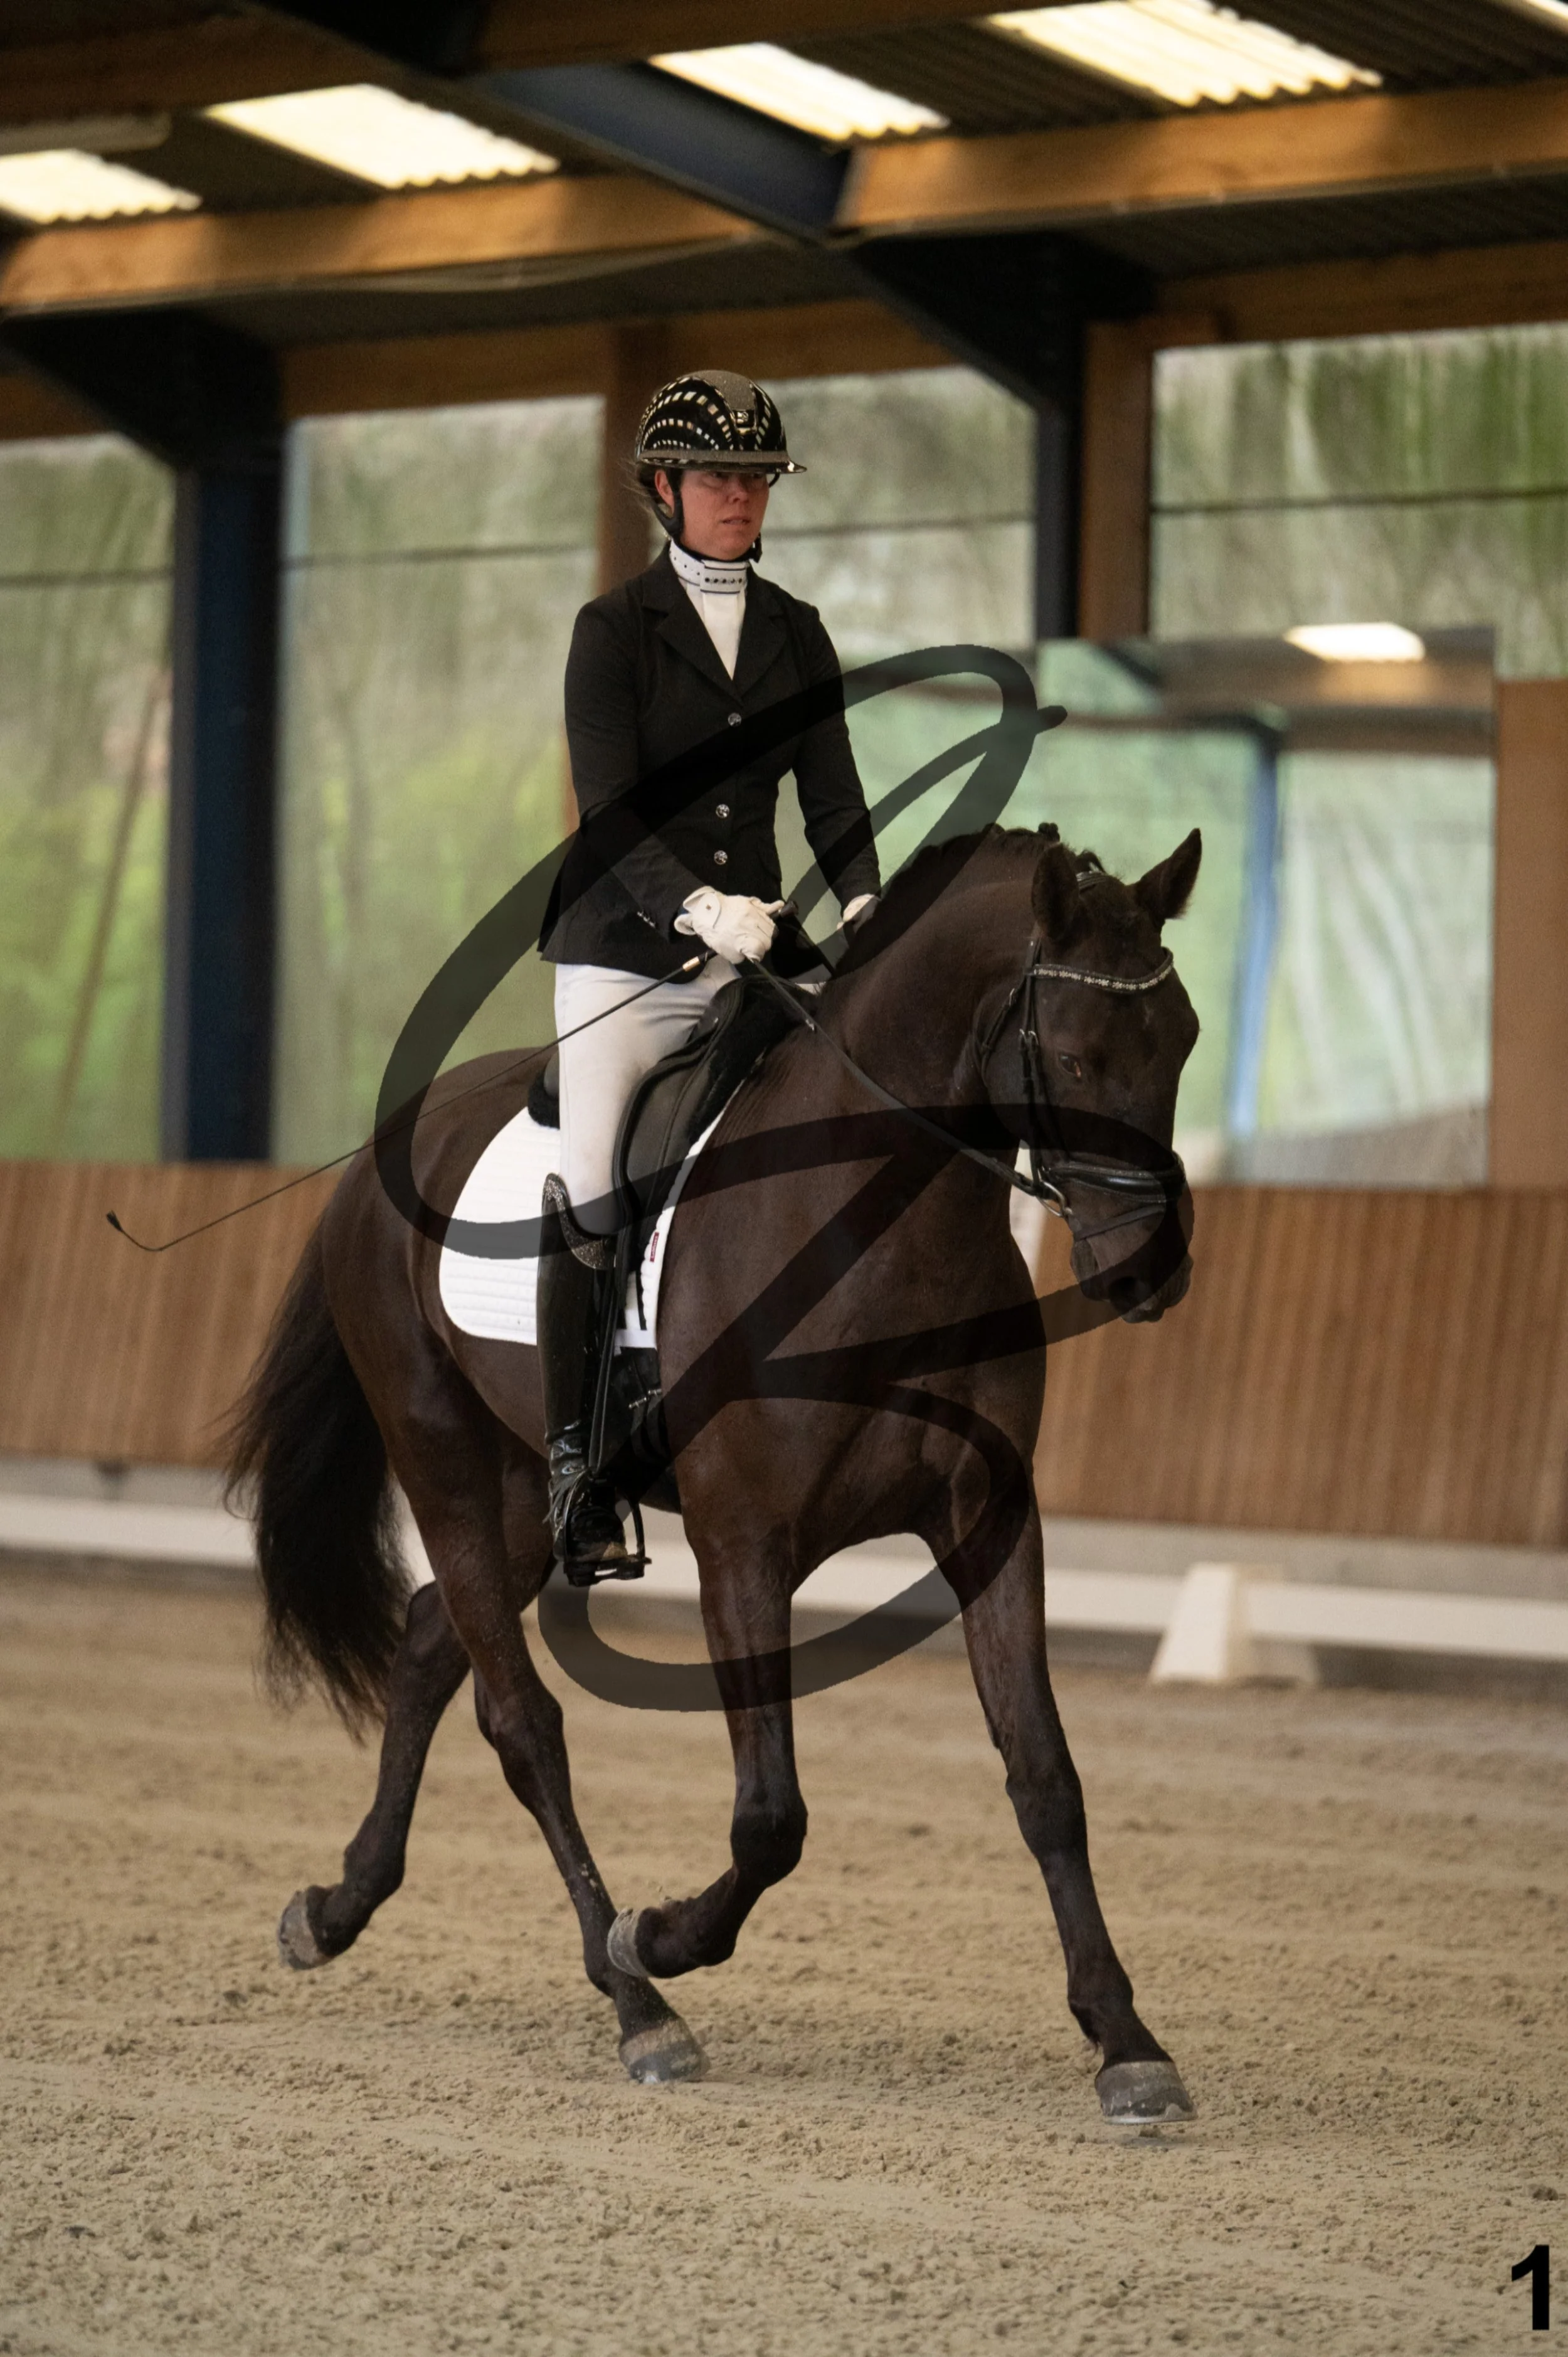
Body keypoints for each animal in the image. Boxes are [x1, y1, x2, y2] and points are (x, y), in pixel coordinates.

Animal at [229, 821, 1203, 2120]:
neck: (879, 1222)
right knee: (521, 1720)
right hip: (440, 1456)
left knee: (437, 1637)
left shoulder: (992, 1516)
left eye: (1182, 1039)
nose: (1152, 1270)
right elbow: (771, 1817)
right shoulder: (745, 1544)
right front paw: (658, 1933)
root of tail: (381, 1150)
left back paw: (337, 1907)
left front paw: (1126, 2039)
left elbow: (1045, 1773)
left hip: (528, 1492)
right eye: (1084, 1055)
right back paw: (635, 1997)